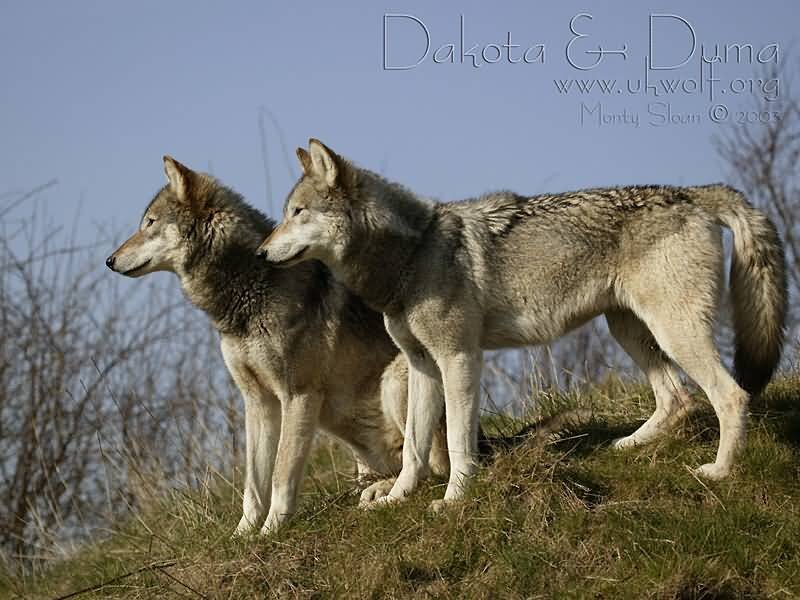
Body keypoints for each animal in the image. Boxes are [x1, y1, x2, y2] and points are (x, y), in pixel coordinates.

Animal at [105, 156, 455, 534]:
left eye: (150, 223)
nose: (109, 260)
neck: (250, 290)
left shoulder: (297, 395)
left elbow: (280, 474)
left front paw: (271, 530)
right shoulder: (256, 401)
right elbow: (253, 484)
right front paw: (243, 535)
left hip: (394, 382)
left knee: (433, 466)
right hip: (342, 421)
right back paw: (374, 488)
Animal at [258, 139, 787, 511]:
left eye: (297, 213)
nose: (261, 254)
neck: (412, 256)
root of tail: (692, 193)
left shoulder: (459, 359)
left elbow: (456, 442)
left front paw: (454, 499)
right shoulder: (423, 366)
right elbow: (413, 449)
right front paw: (395, 497)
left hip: (673, 332)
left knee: (731, 395)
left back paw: (719, 471)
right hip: (629, 330)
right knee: (677, 399)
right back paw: (625, 446)